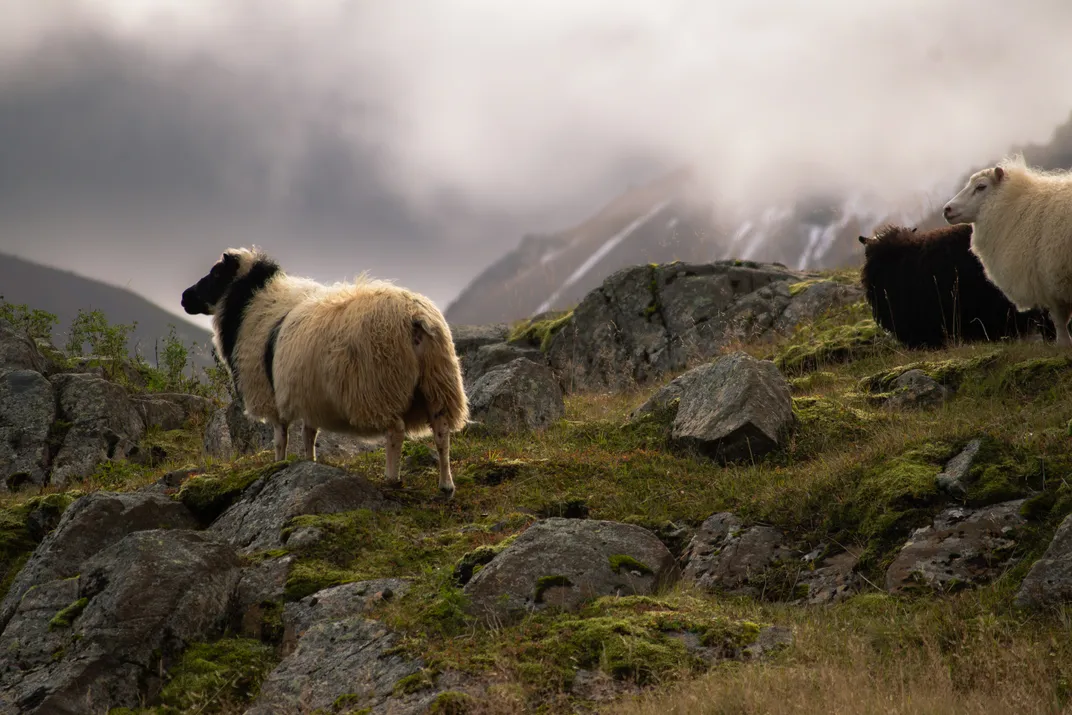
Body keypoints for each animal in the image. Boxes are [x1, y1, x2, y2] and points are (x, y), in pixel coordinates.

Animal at [180, 247, 469, 499]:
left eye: (216, 273)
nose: (184, 297)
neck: (252, 306)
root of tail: (416, 317)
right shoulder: (310, 396)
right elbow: (309, 434)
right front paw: (309, 462)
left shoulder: (270, 395)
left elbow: (280, 438)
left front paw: (277, 465)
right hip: (438, 381)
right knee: (442, 431)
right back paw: (446, 486)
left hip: (380, 385)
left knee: (395, 431)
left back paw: (391, 478)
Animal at [943, 154, 1072, 346]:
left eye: (981, 187)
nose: (947, 209)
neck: (1013, 204)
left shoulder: (1049, 277)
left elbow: (1059, 319)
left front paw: (1063, 344)